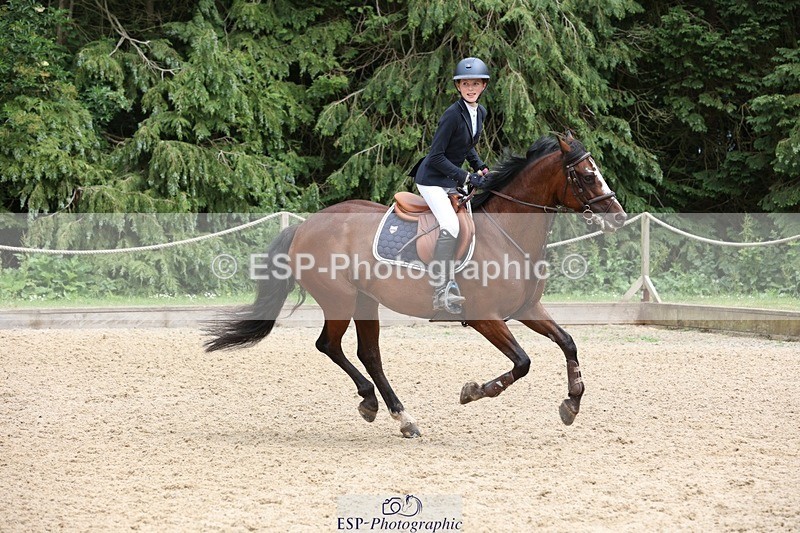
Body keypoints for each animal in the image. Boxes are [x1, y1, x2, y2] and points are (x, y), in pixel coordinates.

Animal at [204, 132, 627, 438]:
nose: (619, 217)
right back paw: (376, 405)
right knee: (330, 345)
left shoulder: (526, 309)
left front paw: (571, 404)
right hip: (340, 300)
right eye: (587, 175)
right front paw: (473, 391)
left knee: (369, 354)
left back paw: (401, 416)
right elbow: (522, 362)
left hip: (365, 301)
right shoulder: (485, 317)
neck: (508, 232)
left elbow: (568, 342)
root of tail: (306, 225)